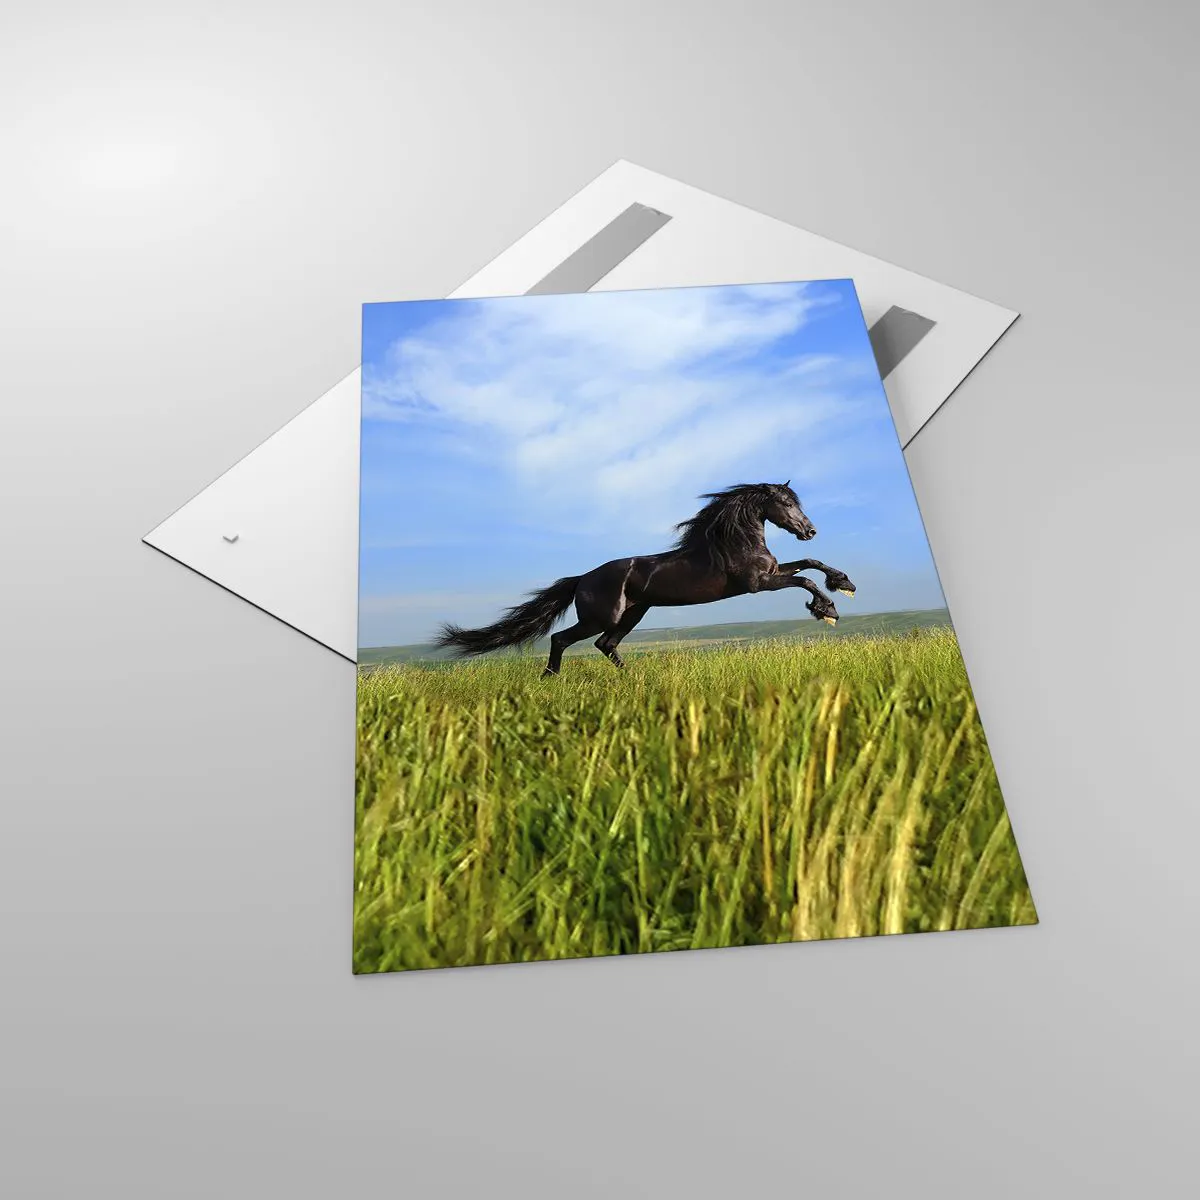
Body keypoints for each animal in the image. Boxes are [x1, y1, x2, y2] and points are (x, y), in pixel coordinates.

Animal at [435, 482, 857, 676]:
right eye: (785, 503)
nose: (810, 530)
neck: (735, 541)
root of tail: (581, 578)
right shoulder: (756, 584)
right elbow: (804, 581)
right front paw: (827, 610)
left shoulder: (772, 571)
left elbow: (810, 563)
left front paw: (844, 584)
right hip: (601, 616)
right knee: (563, 639)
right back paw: (549, 678)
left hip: (634, 614)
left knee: (606, 644)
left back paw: (630, 677)